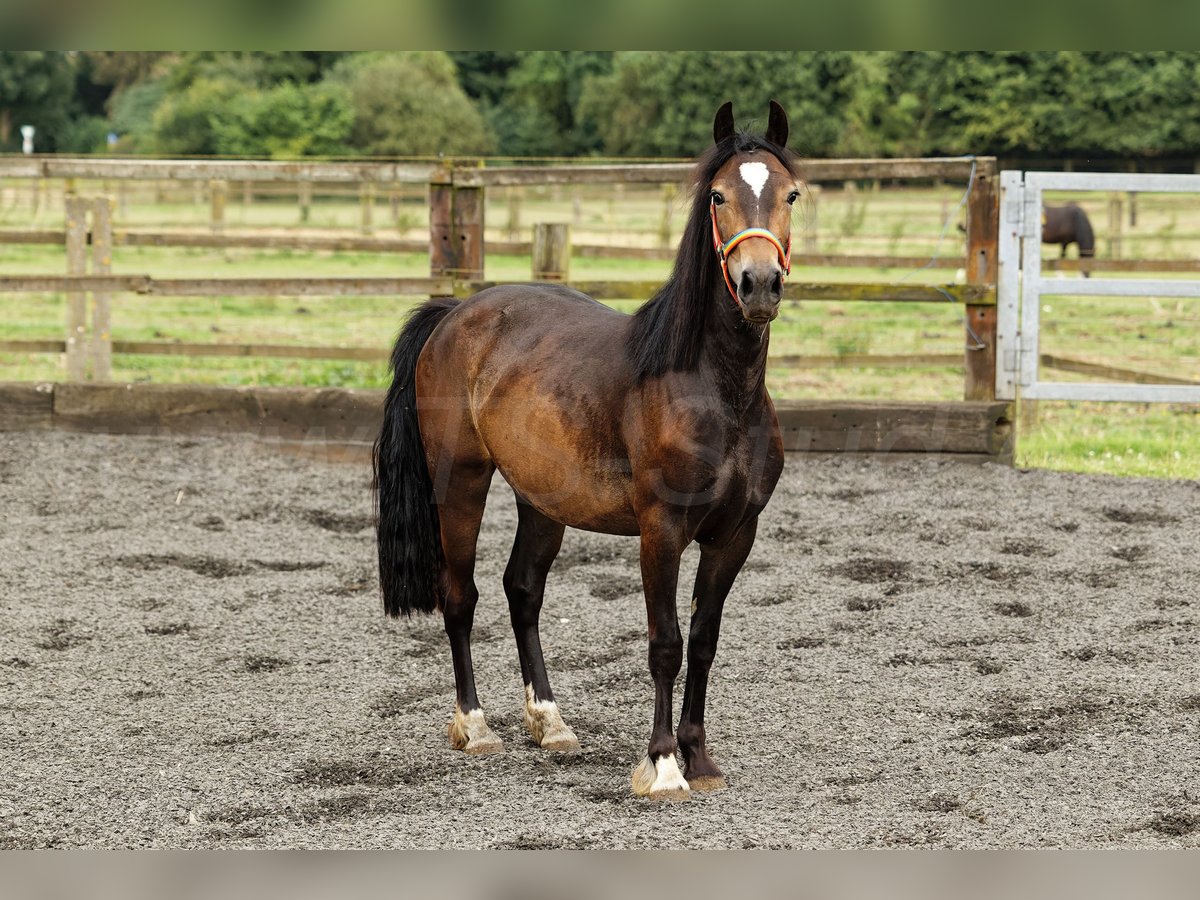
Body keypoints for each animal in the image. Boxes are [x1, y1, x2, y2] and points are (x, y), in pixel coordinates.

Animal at [372, 103, 796, 801]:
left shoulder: (735, 534)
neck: (712, 387)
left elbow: (704, 641)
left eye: (791, 194)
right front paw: (664, 764)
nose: (759, 284)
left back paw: (550, 721)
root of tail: (456, 312)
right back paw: (475, 726)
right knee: (460, 595)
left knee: (522, 590)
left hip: (541, 498)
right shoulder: (661, 531)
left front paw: (700, 757)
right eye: (717, 195)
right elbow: (665, 643)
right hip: (461, 482)